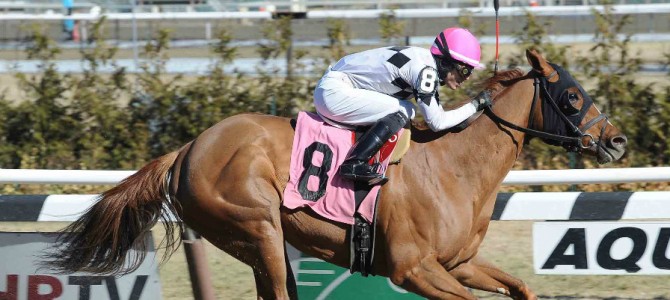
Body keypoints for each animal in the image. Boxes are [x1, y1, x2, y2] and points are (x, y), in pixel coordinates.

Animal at [47, 49, 632, 298]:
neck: (454, 169)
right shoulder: (414, 270)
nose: (617, 140)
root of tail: (189, 147)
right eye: (572, 97)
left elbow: (521, 288)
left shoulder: (458, 264)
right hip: (258, 229)